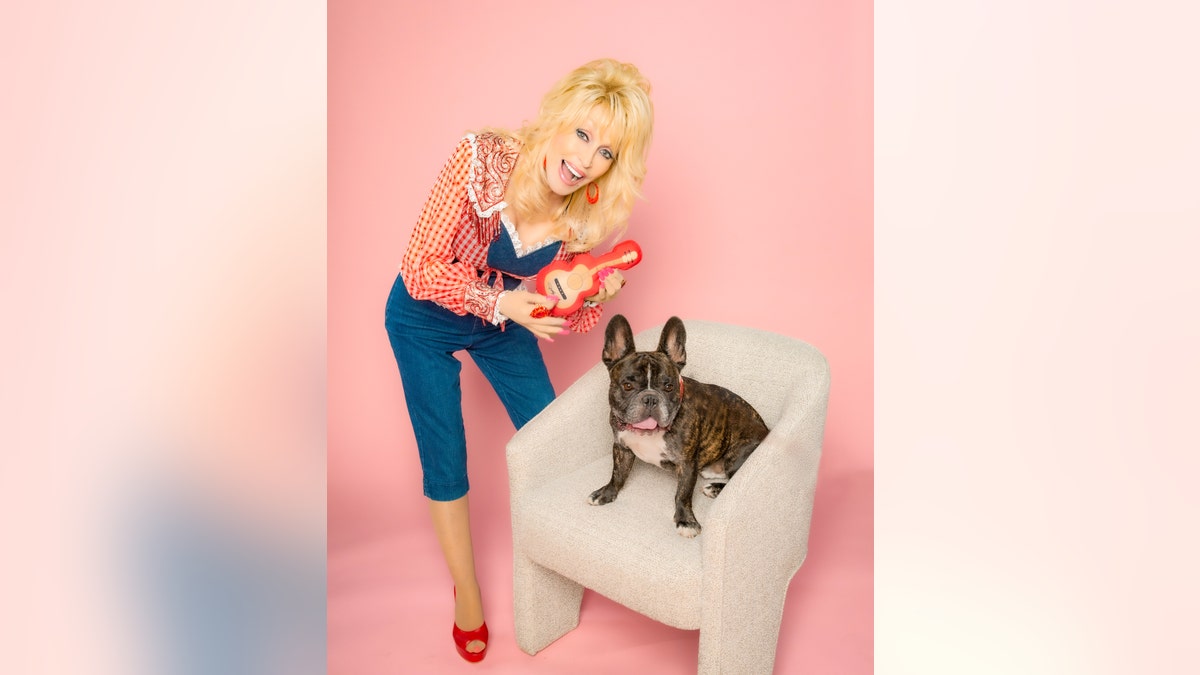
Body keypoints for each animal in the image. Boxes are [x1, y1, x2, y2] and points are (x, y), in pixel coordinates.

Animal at [588, 314, 772, 535]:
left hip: (737, 452)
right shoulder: (621, 448)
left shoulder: (687, 464)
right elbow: (617, 474)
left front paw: (686, 520)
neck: (649, 433)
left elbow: (683, 494)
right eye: (627, 385)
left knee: (733, 478)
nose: (650, 398)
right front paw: (606, 493)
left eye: (669, 386)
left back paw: (714, 488)